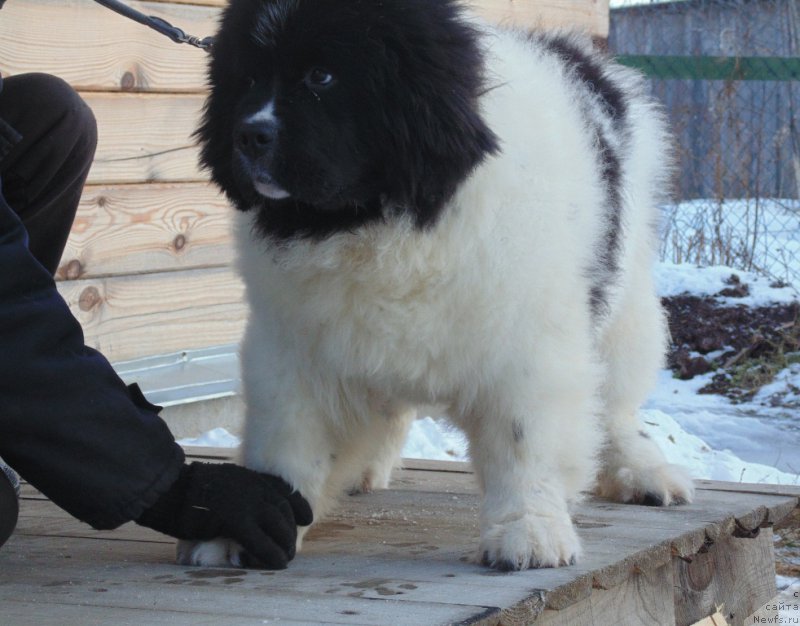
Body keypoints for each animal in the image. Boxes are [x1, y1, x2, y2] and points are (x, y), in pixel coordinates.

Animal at [181, 0, 692, 568]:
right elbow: (286, 439)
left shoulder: (528, 343)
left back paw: (641, 472)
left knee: (618, 403)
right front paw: (245, 518)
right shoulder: (293, 345)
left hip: (626, 304)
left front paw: (528, 530)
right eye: (247, 79)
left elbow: (523, 440)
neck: (381, 220)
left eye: (321, 77)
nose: (249, 135)